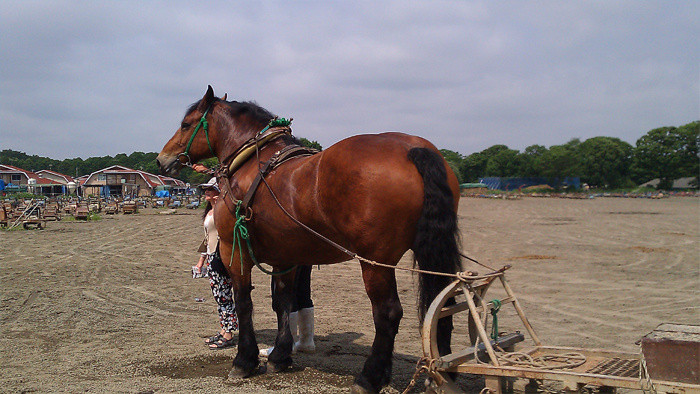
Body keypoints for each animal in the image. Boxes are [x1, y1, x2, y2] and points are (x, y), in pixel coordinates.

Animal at [159, 87, 464, 394]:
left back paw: (370, 377)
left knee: (388, 313)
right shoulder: (286, 256)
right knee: (444, 303)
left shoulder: (234, 249)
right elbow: (283, 302)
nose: (162, 159)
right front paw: (280, 355)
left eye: (186, 124)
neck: (250, 164)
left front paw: (244, 361)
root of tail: (412, 148)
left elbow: (243, 302)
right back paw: (441, 372)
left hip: (375, 263)